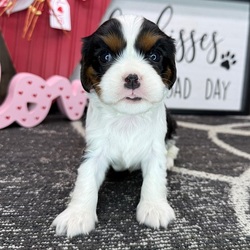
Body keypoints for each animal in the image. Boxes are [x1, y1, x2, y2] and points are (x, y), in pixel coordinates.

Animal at [52, 14, 178, 237]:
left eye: (154, 56)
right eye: (105, 57)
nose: (132, 78)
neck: (128, 118)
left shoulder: (155, 147)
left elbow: (155, 176)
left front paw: (154, 207)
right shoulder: (94, 149)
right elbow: (85, 177)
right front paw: (77, 214)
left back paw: (170, 157)